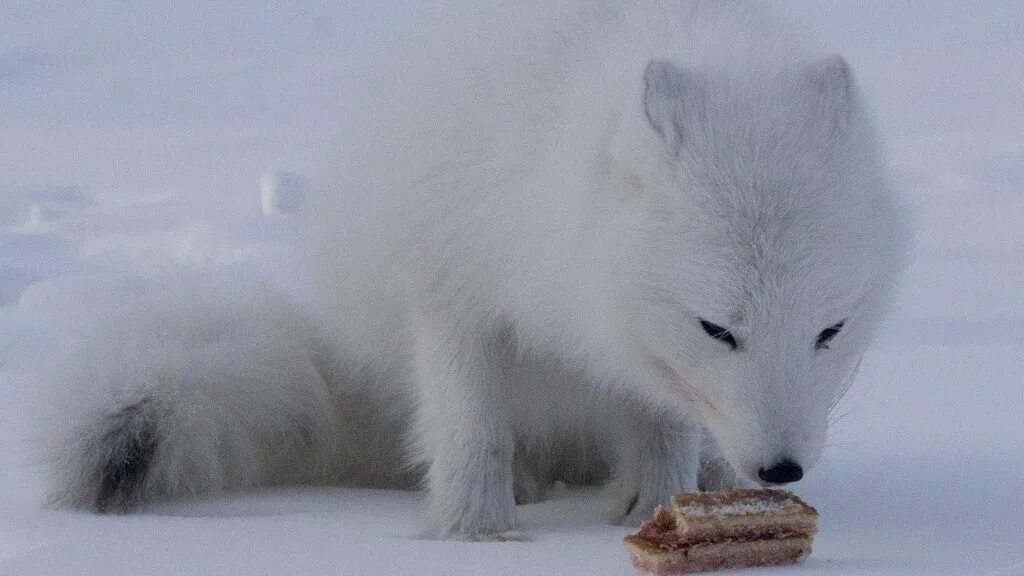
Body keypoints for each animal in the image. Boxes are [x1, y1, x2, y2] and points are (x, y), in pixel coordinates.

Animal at [39, 0, 909, 537]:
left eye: (830, 331)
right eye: (717, 330)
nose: (782, 468)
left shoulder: (629, 336)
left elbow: (661, 421)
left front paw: (657, 507)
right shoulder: (453, 289)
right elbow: (472, 430)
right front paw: (475, 532)